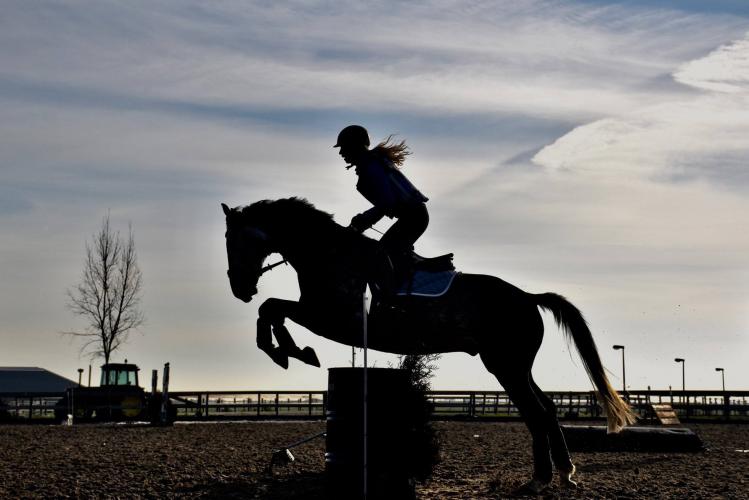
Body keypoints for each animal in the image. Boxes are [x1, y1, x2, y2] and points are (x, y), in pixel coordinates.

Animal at [222, 197, 636, 494]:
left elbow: (272, 308)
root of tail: (528, 297)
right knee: (547, 409)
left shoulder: (330, 318)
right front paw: (288, 351)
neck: (329, 254)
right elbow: (271, 310)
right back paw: (564, 472)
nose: (239, 289)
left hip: (505, 364)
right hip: (515, 365)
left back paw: (539, 479)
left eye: (236, 241)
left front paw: (289, 352)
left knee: (536, 413)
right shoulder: (323, 316)